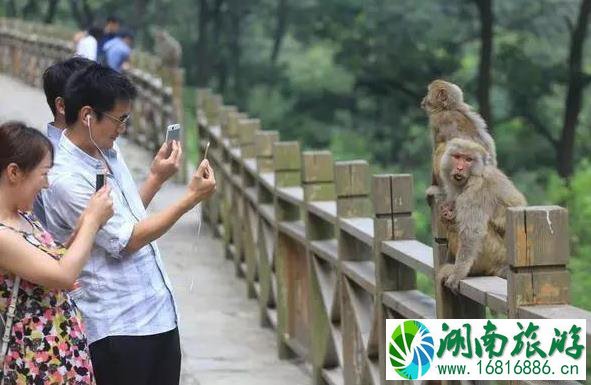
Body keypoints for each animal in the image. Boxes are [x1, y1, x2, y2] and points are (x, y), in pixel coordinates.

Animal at [434, 138, 528, 292]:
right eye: (457, 157)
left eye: (468, 159)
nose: (460, 168)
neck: (474, 174)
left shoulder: (477, 190)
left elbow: (472, 232)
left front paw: (458, 273)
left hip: (496, 255)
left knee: (458, 226)